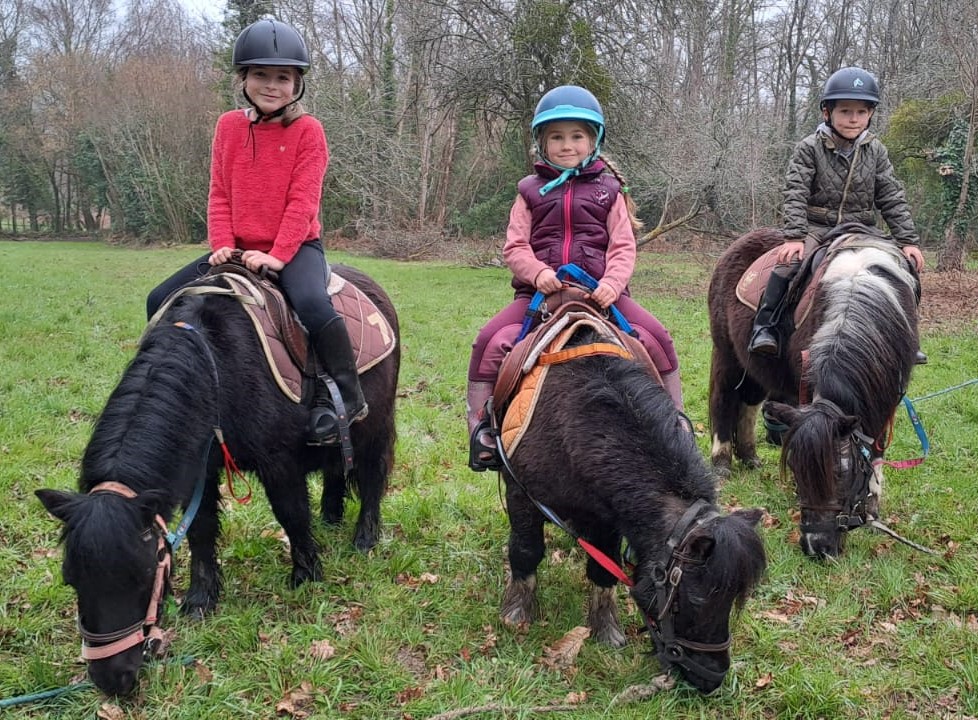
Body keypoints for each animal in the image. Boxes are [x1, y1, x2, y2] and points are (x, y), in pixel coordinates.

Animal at [704, 225, 920, 556]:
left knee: (749, 404)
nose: (816, 545)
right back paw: (722, 462)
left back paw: (750, 456)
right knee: (724, 399)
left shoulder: (890, 394)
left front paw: (873, 508)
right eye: (795, 468)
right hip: (727, 353)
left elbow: (877, 447)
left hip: (756, 365)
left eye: (843, 473)